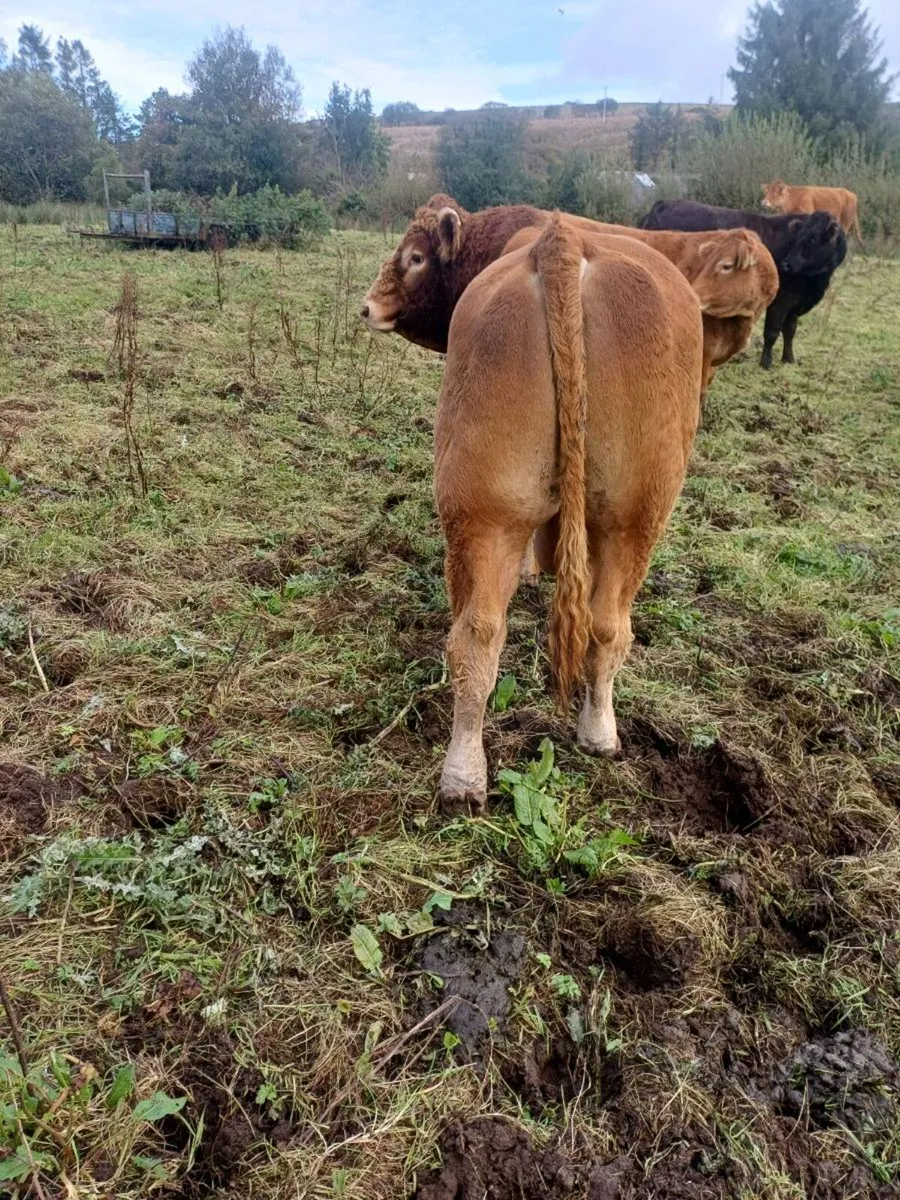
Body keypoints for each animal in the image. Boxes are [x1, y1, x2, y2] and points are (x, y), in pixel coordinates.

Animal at [428, 215, 704, 812]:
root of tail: (565, 241)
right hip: (635, 516)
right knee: (606, 627)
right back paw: (597, 734)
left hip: (490, 509)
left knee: (482, 634)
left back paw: (465, 778)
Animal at [640, 200, 847, 368]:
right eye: (800, 237)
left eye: (813, 239)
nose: (787, 264)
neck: (813, 283)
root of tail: (664, 203)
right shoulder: (781, 300)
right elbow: (772, 331)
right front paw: (766, 363)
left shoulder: (795, 305)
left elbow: (790, 331)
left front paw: (788, 359)